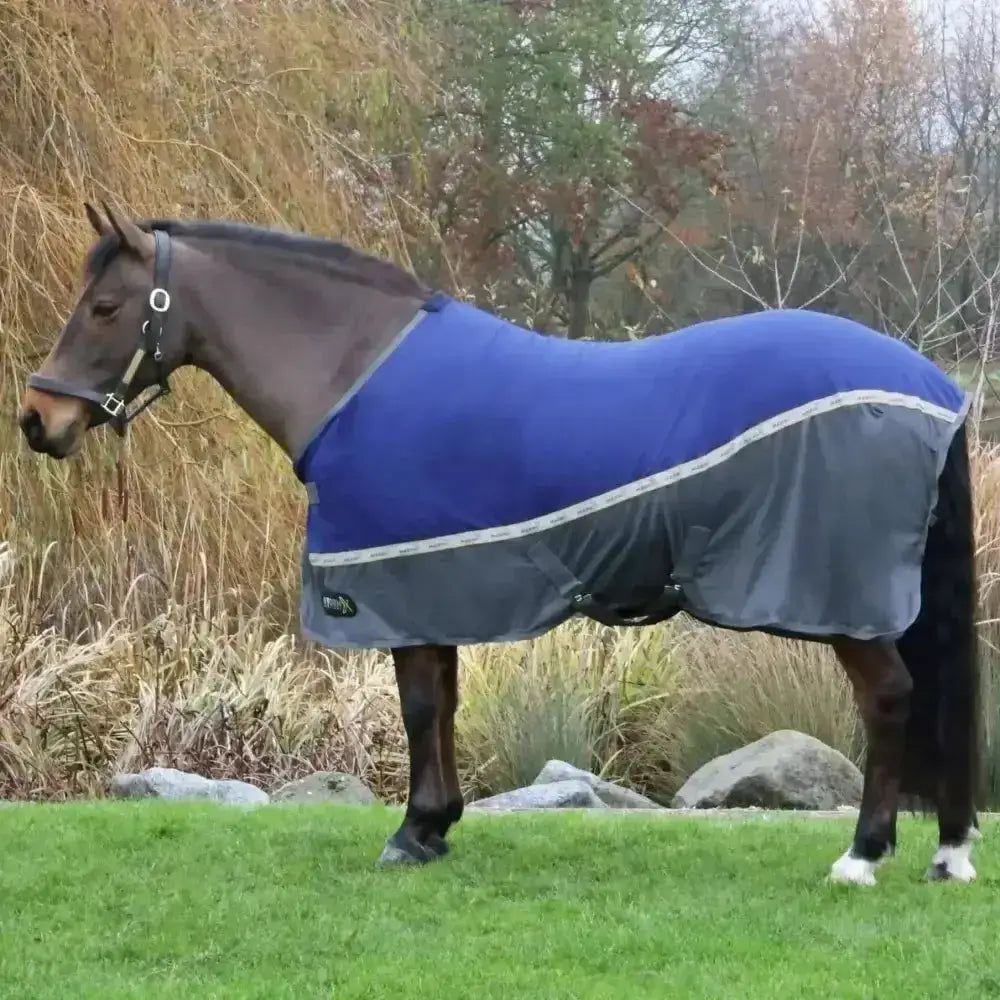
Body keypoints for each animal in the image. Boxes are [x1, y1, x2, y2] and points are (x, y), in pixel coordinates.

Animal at [18, 201, 982, 886]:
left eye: (105, 306)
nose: (38, 420)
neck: (353, 376)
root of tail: (931, 385)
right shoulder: (432, 584)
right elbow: (441, 704)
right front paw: (437, 824)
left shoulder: (393, 586)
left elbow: (417, 707)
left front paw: (412, 833)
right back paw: (944, 851)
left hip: (843, 601)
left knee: (890, 700)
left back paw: (862, 855)